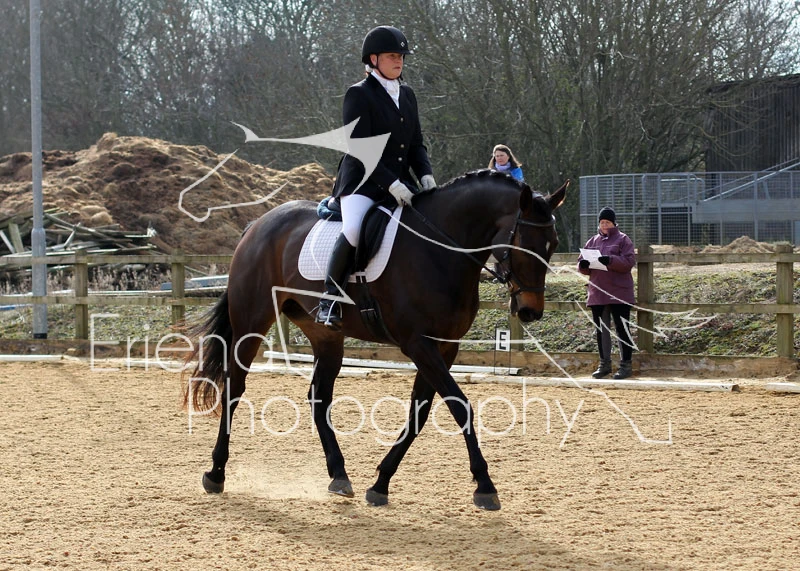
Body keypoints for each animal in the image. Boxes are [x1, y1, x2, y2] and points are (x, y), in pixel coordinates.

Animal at [185, 169, 568, 510]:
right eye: (524, 245)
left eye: (553, 246)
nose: (530, 311)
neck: (439, 250)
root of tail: (257, 224)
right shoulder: (419, 344)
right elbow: (460, 406)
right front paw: (485, 486)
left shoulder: (444, 346)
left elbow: (420, 412)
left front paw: (381, 483)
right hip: (252, 321)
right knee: (235, 387)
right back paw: (216, 473)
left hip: (325, 335)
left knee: (319, 397)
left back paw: (339, 476)